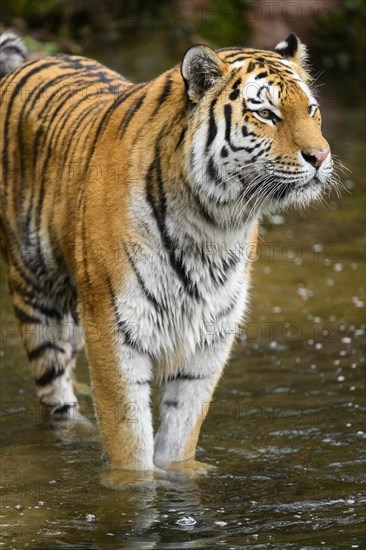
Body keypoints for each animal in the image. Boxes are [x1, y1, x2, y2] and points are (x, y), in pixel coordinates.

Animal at [0, 32, 332, 474]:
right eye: (266, 114)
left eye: (311, 110)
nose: (321, 157)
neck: (213, 223)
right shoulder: (115, 328)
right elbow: (129, 441)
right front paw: (134, 484)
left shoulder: (210, 335)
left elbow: (180, 433)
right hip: (37, 298)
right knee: (54, 392)